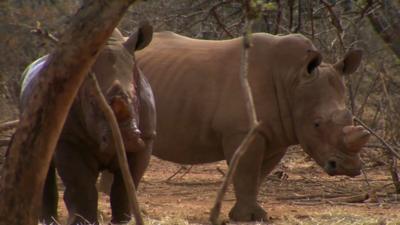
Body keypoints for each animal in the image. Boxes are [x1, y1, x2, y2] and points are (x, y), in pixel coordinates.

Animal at [19, 24, 155, 225]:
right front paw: (83, 221)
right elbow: (81, 184)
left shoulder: (145, 138)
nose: (126, 139)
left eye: (136, 97)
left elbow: (124, 186)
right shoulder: (69, 138)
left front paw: (122, 221)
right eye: (92, 102)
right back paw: (48, 221)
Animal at [137, 31, 368, 221]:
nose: (349, 167)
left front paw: (253, 215)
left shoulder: (276, 135)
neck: (291, 81)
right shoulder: (243, 131)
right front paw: (247, 217)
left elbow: (257, 175)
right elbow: (246, 173)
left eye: (351, 118)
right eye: (316, 124)